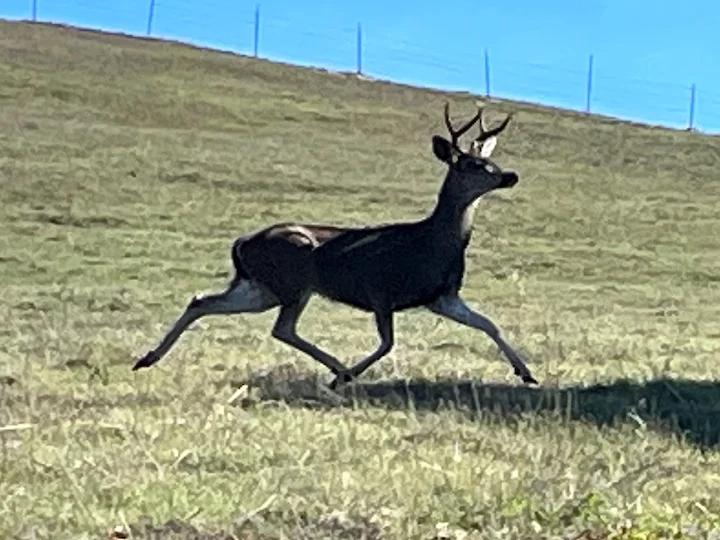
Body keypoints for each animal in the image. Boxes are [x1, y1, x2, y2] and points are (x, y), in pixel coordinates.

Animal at [132, 101, 539, 389]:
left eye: (490, 161)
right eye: (473, 165)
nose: (510, 175)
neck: (434, 243)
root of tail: (242, 242)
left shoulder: (441, 296)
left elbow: (489, 325)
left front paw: (527, 372)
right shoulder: (380, 290)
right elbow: (387, 344)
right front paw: (348, 375)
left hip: (263, 287)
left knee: (204, 301)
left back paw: (147, 358)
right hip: (292, 281)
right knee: (281, 328)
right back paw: (339, 370)